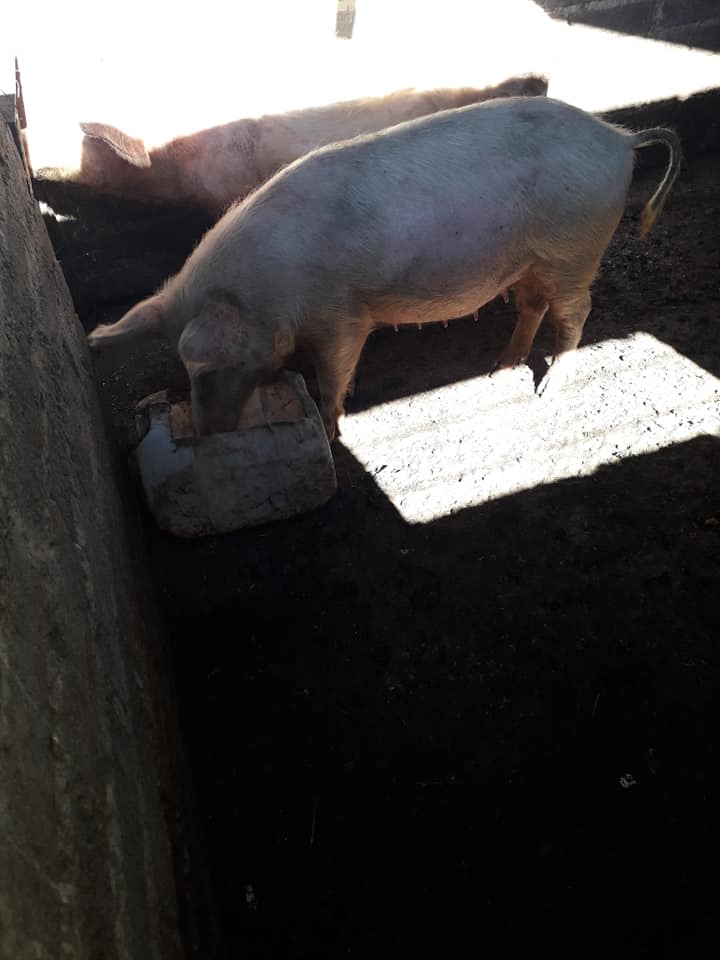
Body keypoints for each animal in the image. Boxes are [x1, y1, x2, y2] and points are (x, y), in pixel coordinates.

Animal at [88, 95, 681, 442]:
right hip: (534, 260)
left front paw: (333, 432)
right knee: (533, 305)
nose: (211, 435)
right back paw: (501, 366)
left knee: (578, 311)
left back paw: (546, 388)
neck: (265, 290)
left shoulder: (341, 315)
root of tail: (619, 138)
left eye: (205, 369)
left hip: (573, 249)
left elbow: (334, 373)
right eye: (184, 372)